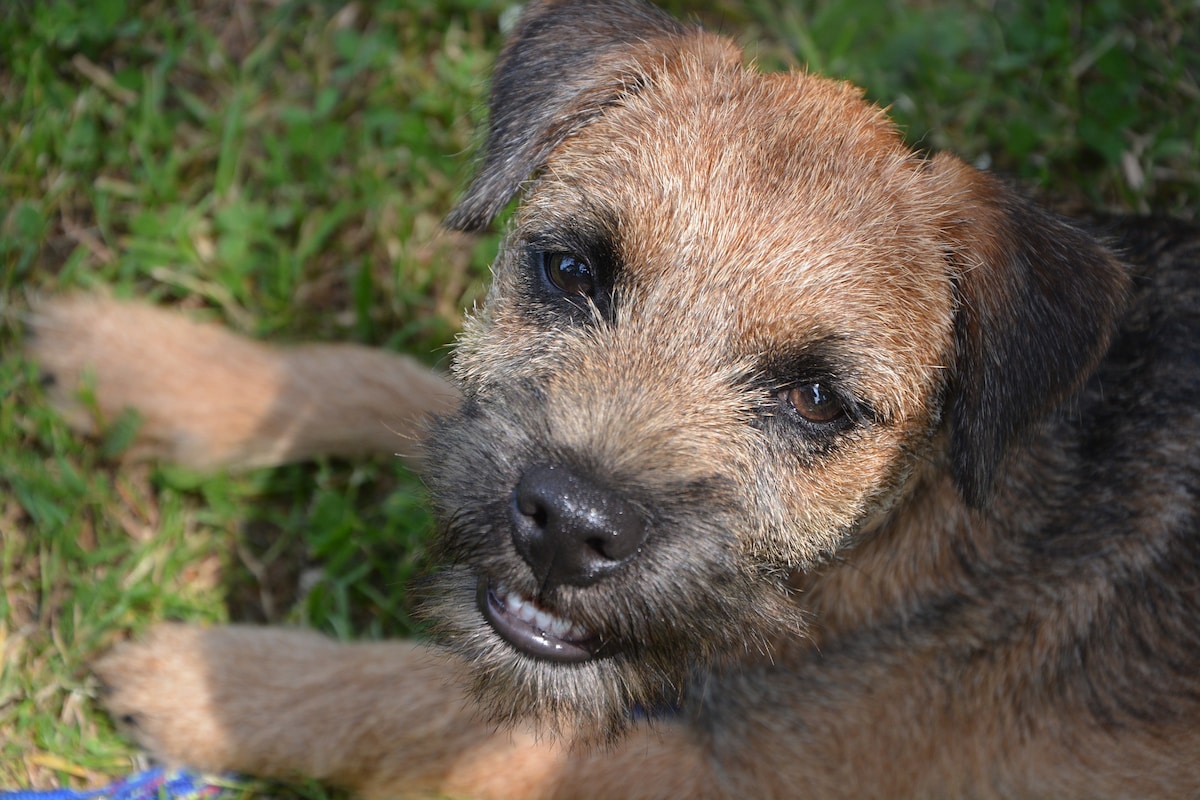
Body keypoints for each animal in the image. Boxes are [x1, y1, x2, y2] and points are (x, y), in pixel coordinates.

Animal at [28, 0, 1200, 796]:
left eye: (820, 399)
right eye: (572, 269)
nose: (568, 526)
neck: (917, 531)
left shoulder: (720, 773)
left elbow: (435, 705)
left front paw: (215, 679)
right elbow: (394, 378)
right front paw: (152, 363)